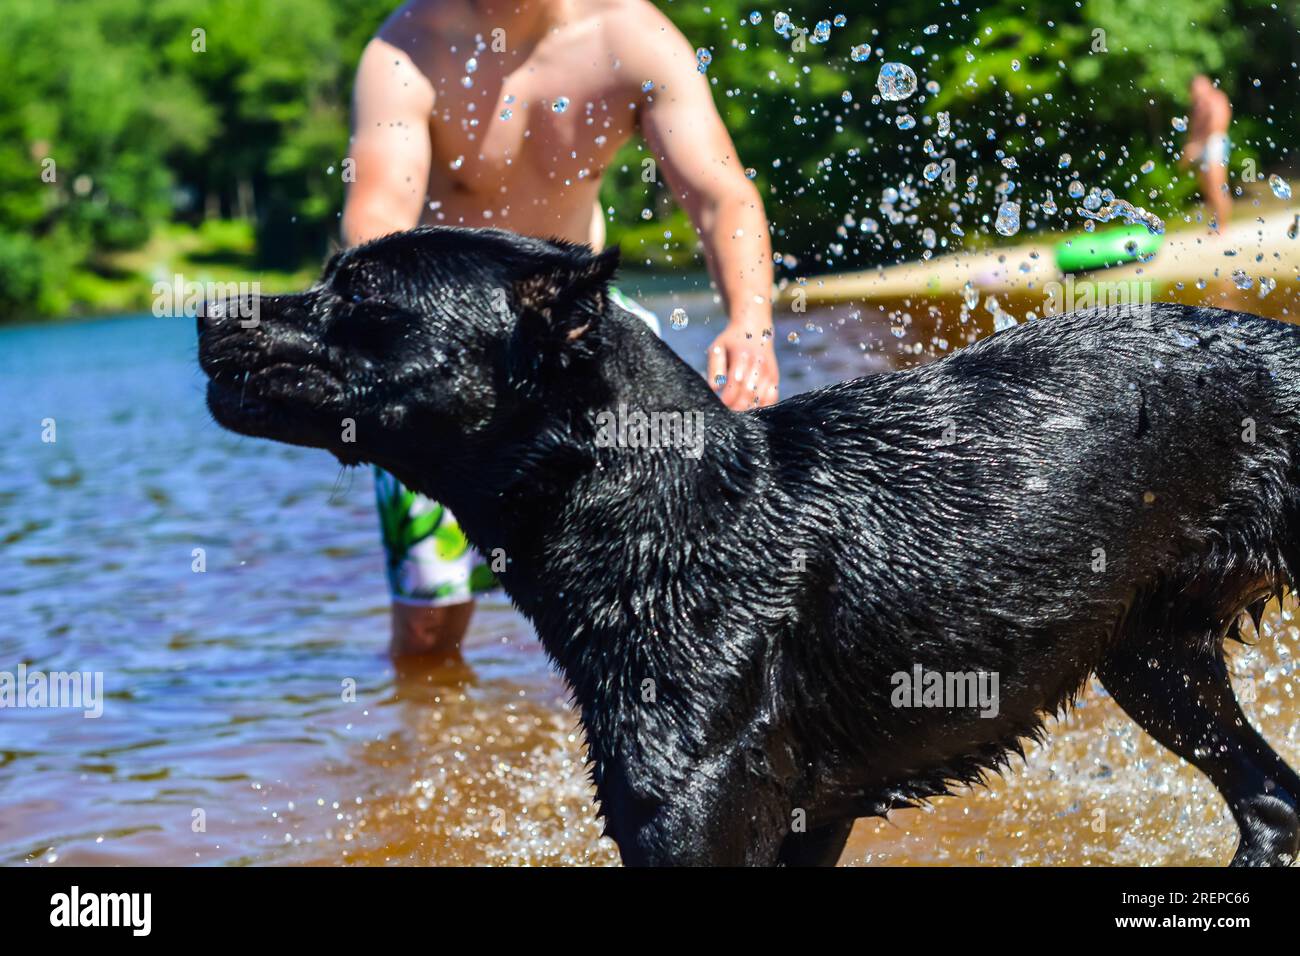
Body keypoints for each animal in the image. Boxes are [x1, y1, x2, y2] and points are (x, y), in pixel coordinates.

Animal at [195, 226, 1300, 868]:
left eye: (361, 290)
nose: (204, 314)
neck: (673, 513)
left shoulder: (695, 823)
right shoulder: (807, 822)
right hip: (1155, 663)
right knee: (1271, 802)